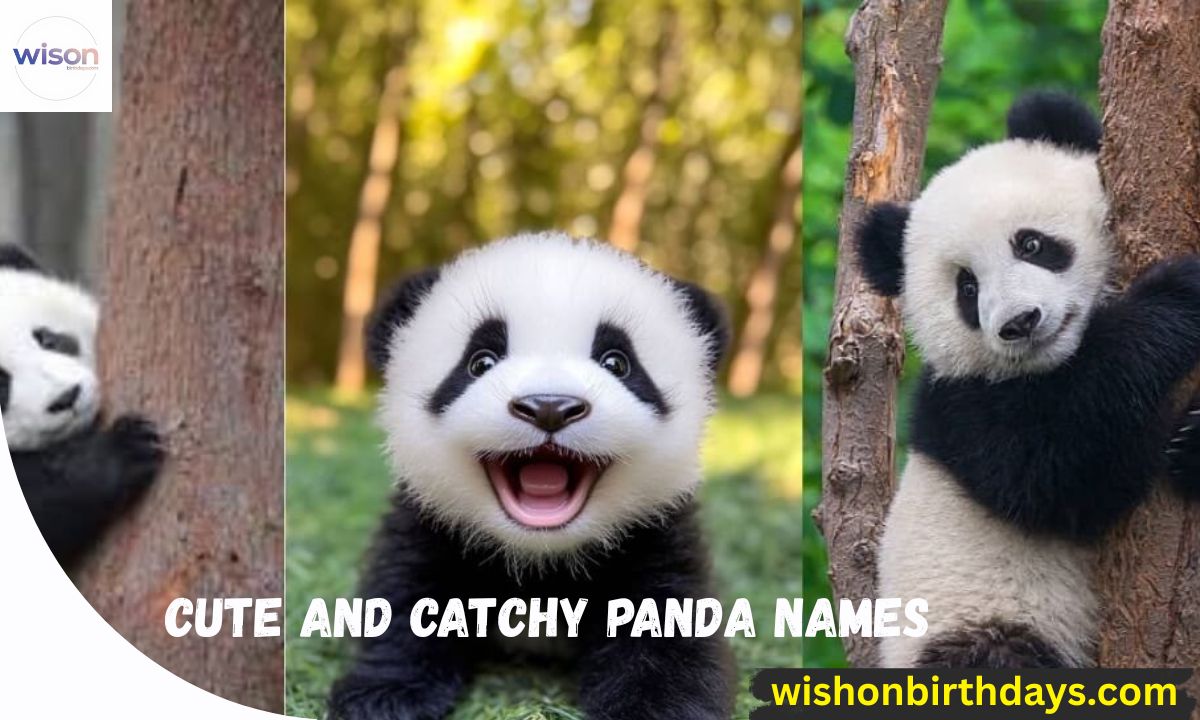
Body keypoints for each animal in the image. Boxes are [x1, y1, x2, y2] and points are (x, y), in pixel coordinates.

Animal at [327, 233, 734, 720]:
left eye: (618, 363)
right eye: (480, 362)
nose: (549, 407)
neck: (538, 559)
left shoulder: (655, 533)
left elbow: (664, 624)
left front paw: (658, 707)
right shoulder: (429, 523)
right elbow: (407, 596)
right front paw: (387, 696)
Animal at [855, 92, 1200, 668]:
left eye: (1031, 244)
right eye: (967, 288)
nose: (1019, 322)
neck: (1057, 362)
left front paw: (1193, 439)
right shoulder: (961, 408)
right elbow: (1059, 474)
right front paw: (1176, 298)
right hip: (982, 622)